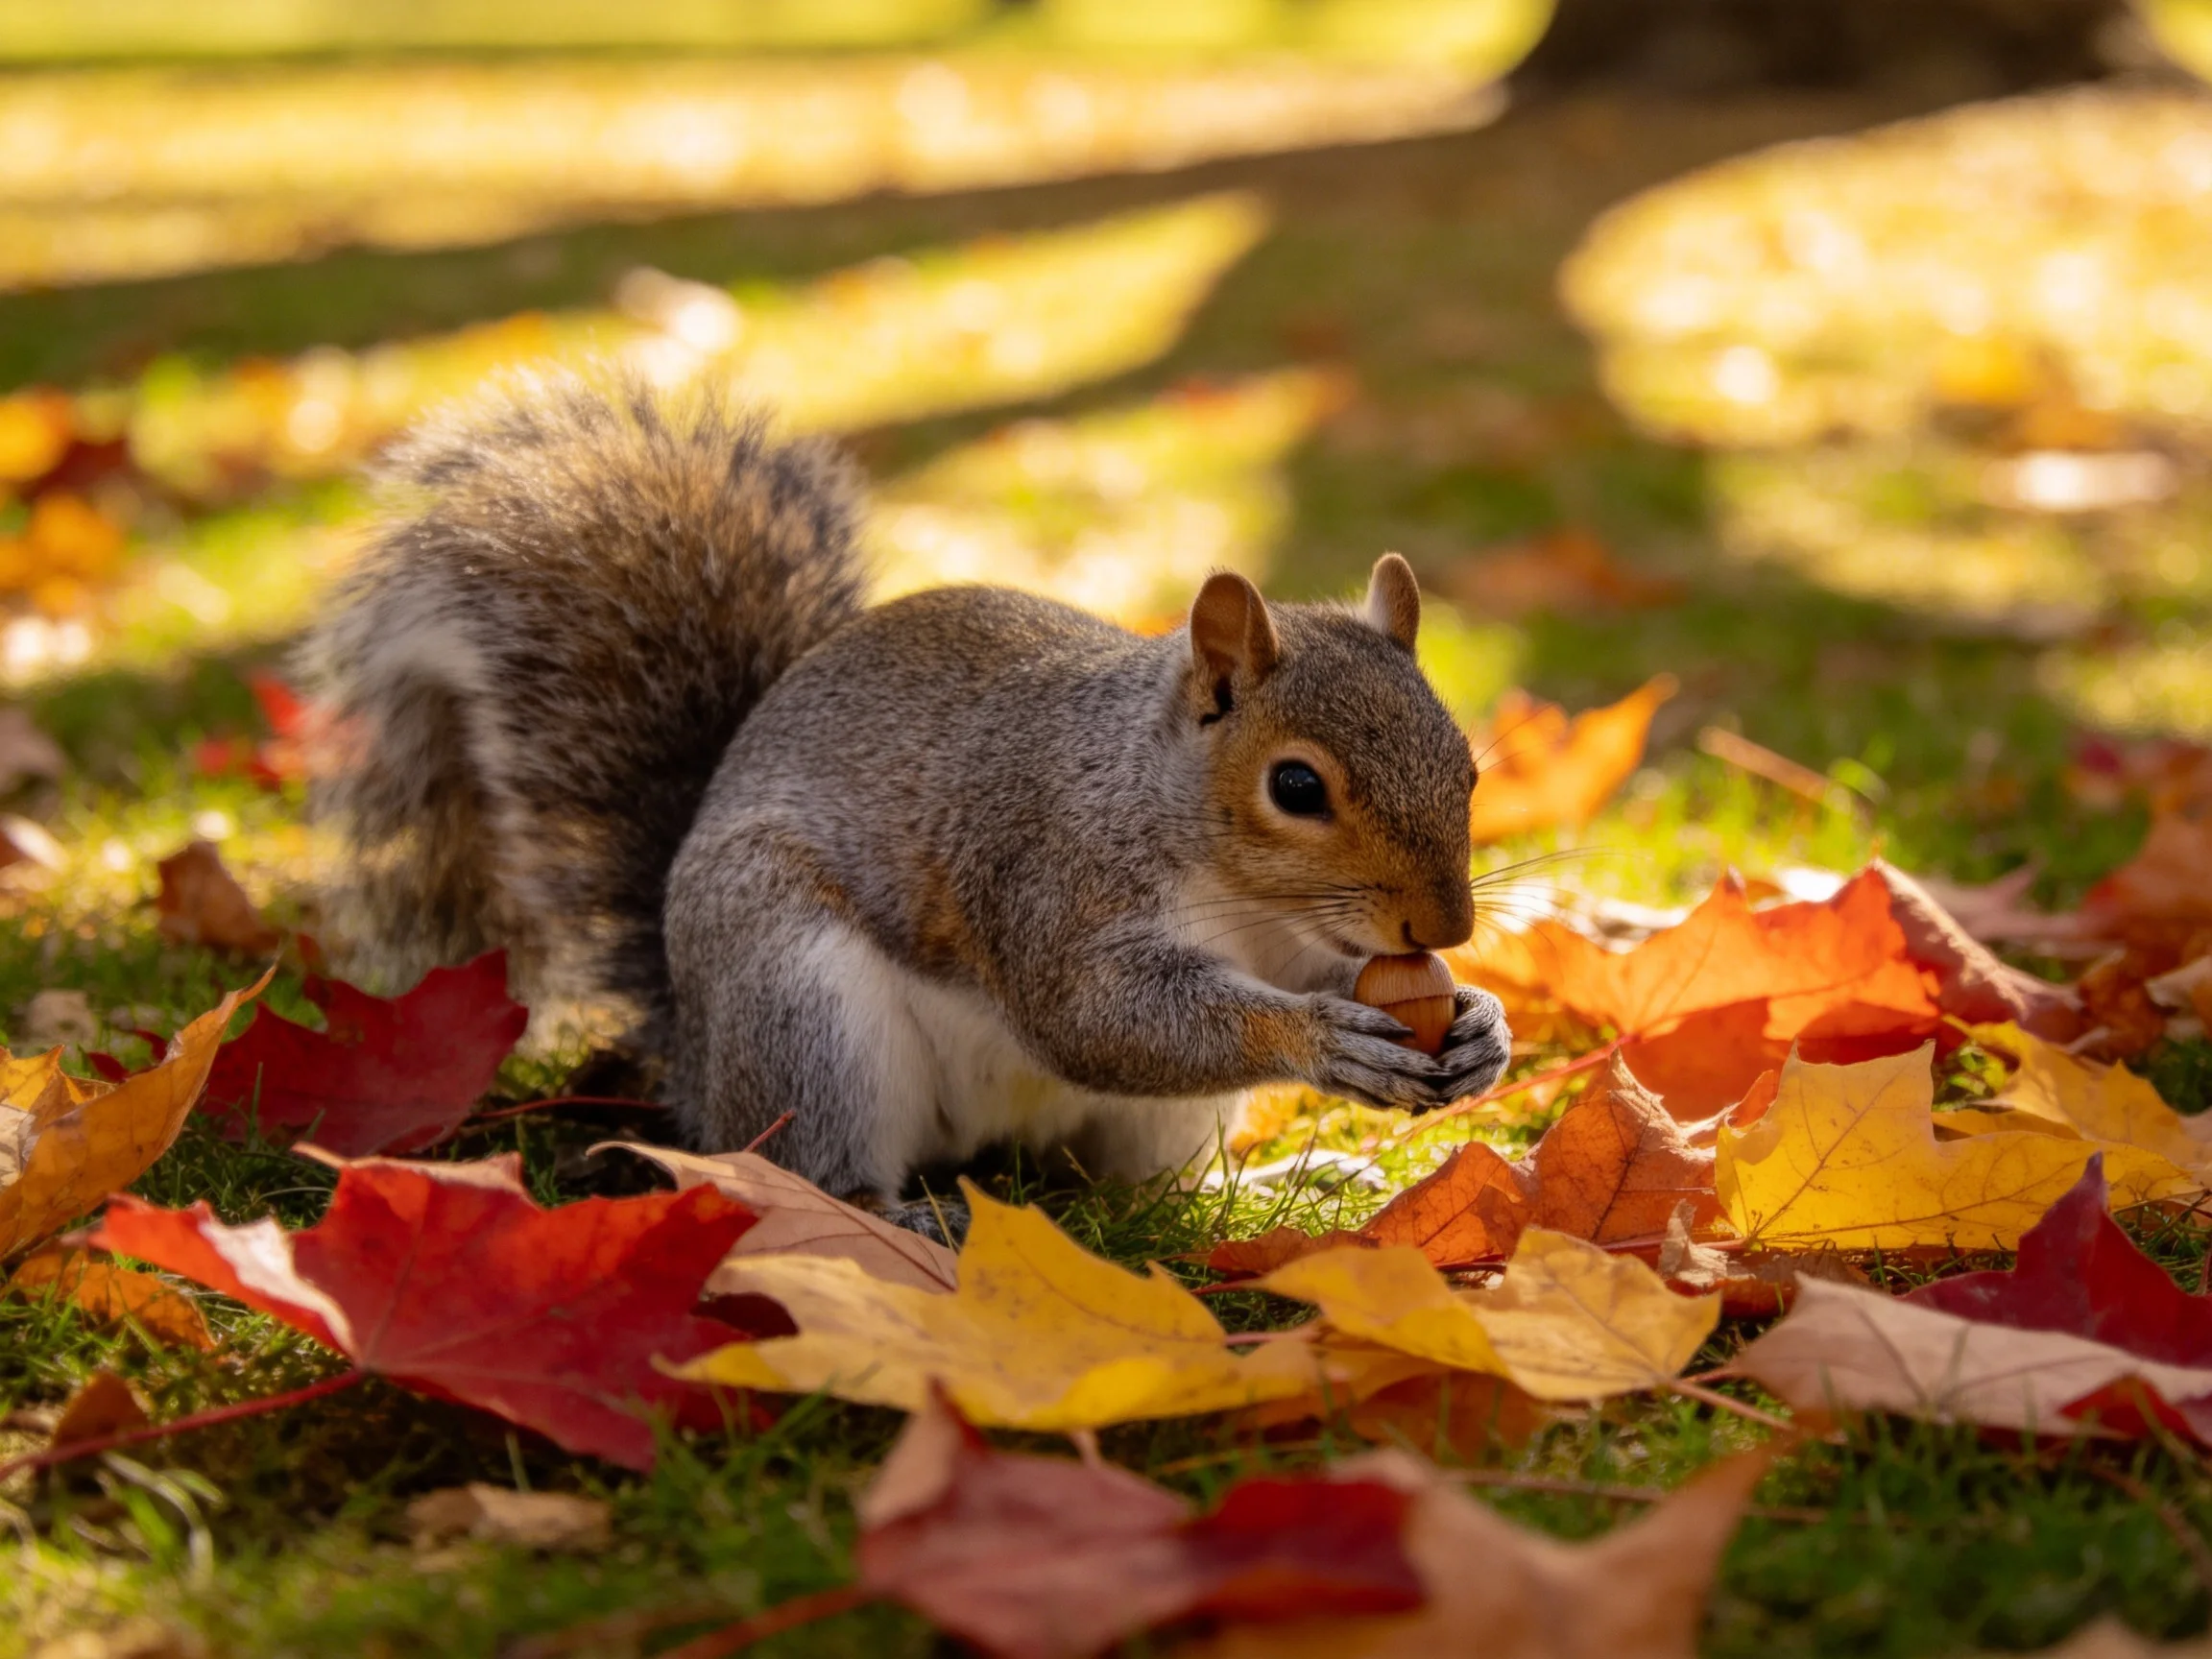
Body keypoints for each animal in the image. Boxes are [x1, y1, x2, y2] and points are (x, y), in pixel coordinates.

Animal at [302, 371, 1510, 1236]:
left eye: (1467, 765)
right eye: (1295, 786)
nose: (1446, 926)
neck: (1241, 895)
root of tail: (694, 1055)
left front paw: (1481, 1026)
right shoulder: (1046, 875)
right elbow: (1097, 1016)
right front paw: (1318, 1041)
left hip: (1143, 1127)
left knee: (1134, 1187)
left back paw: (1256, 1190)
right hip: (800, 1007)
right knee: (811, 1168)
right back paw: (899, 1215)